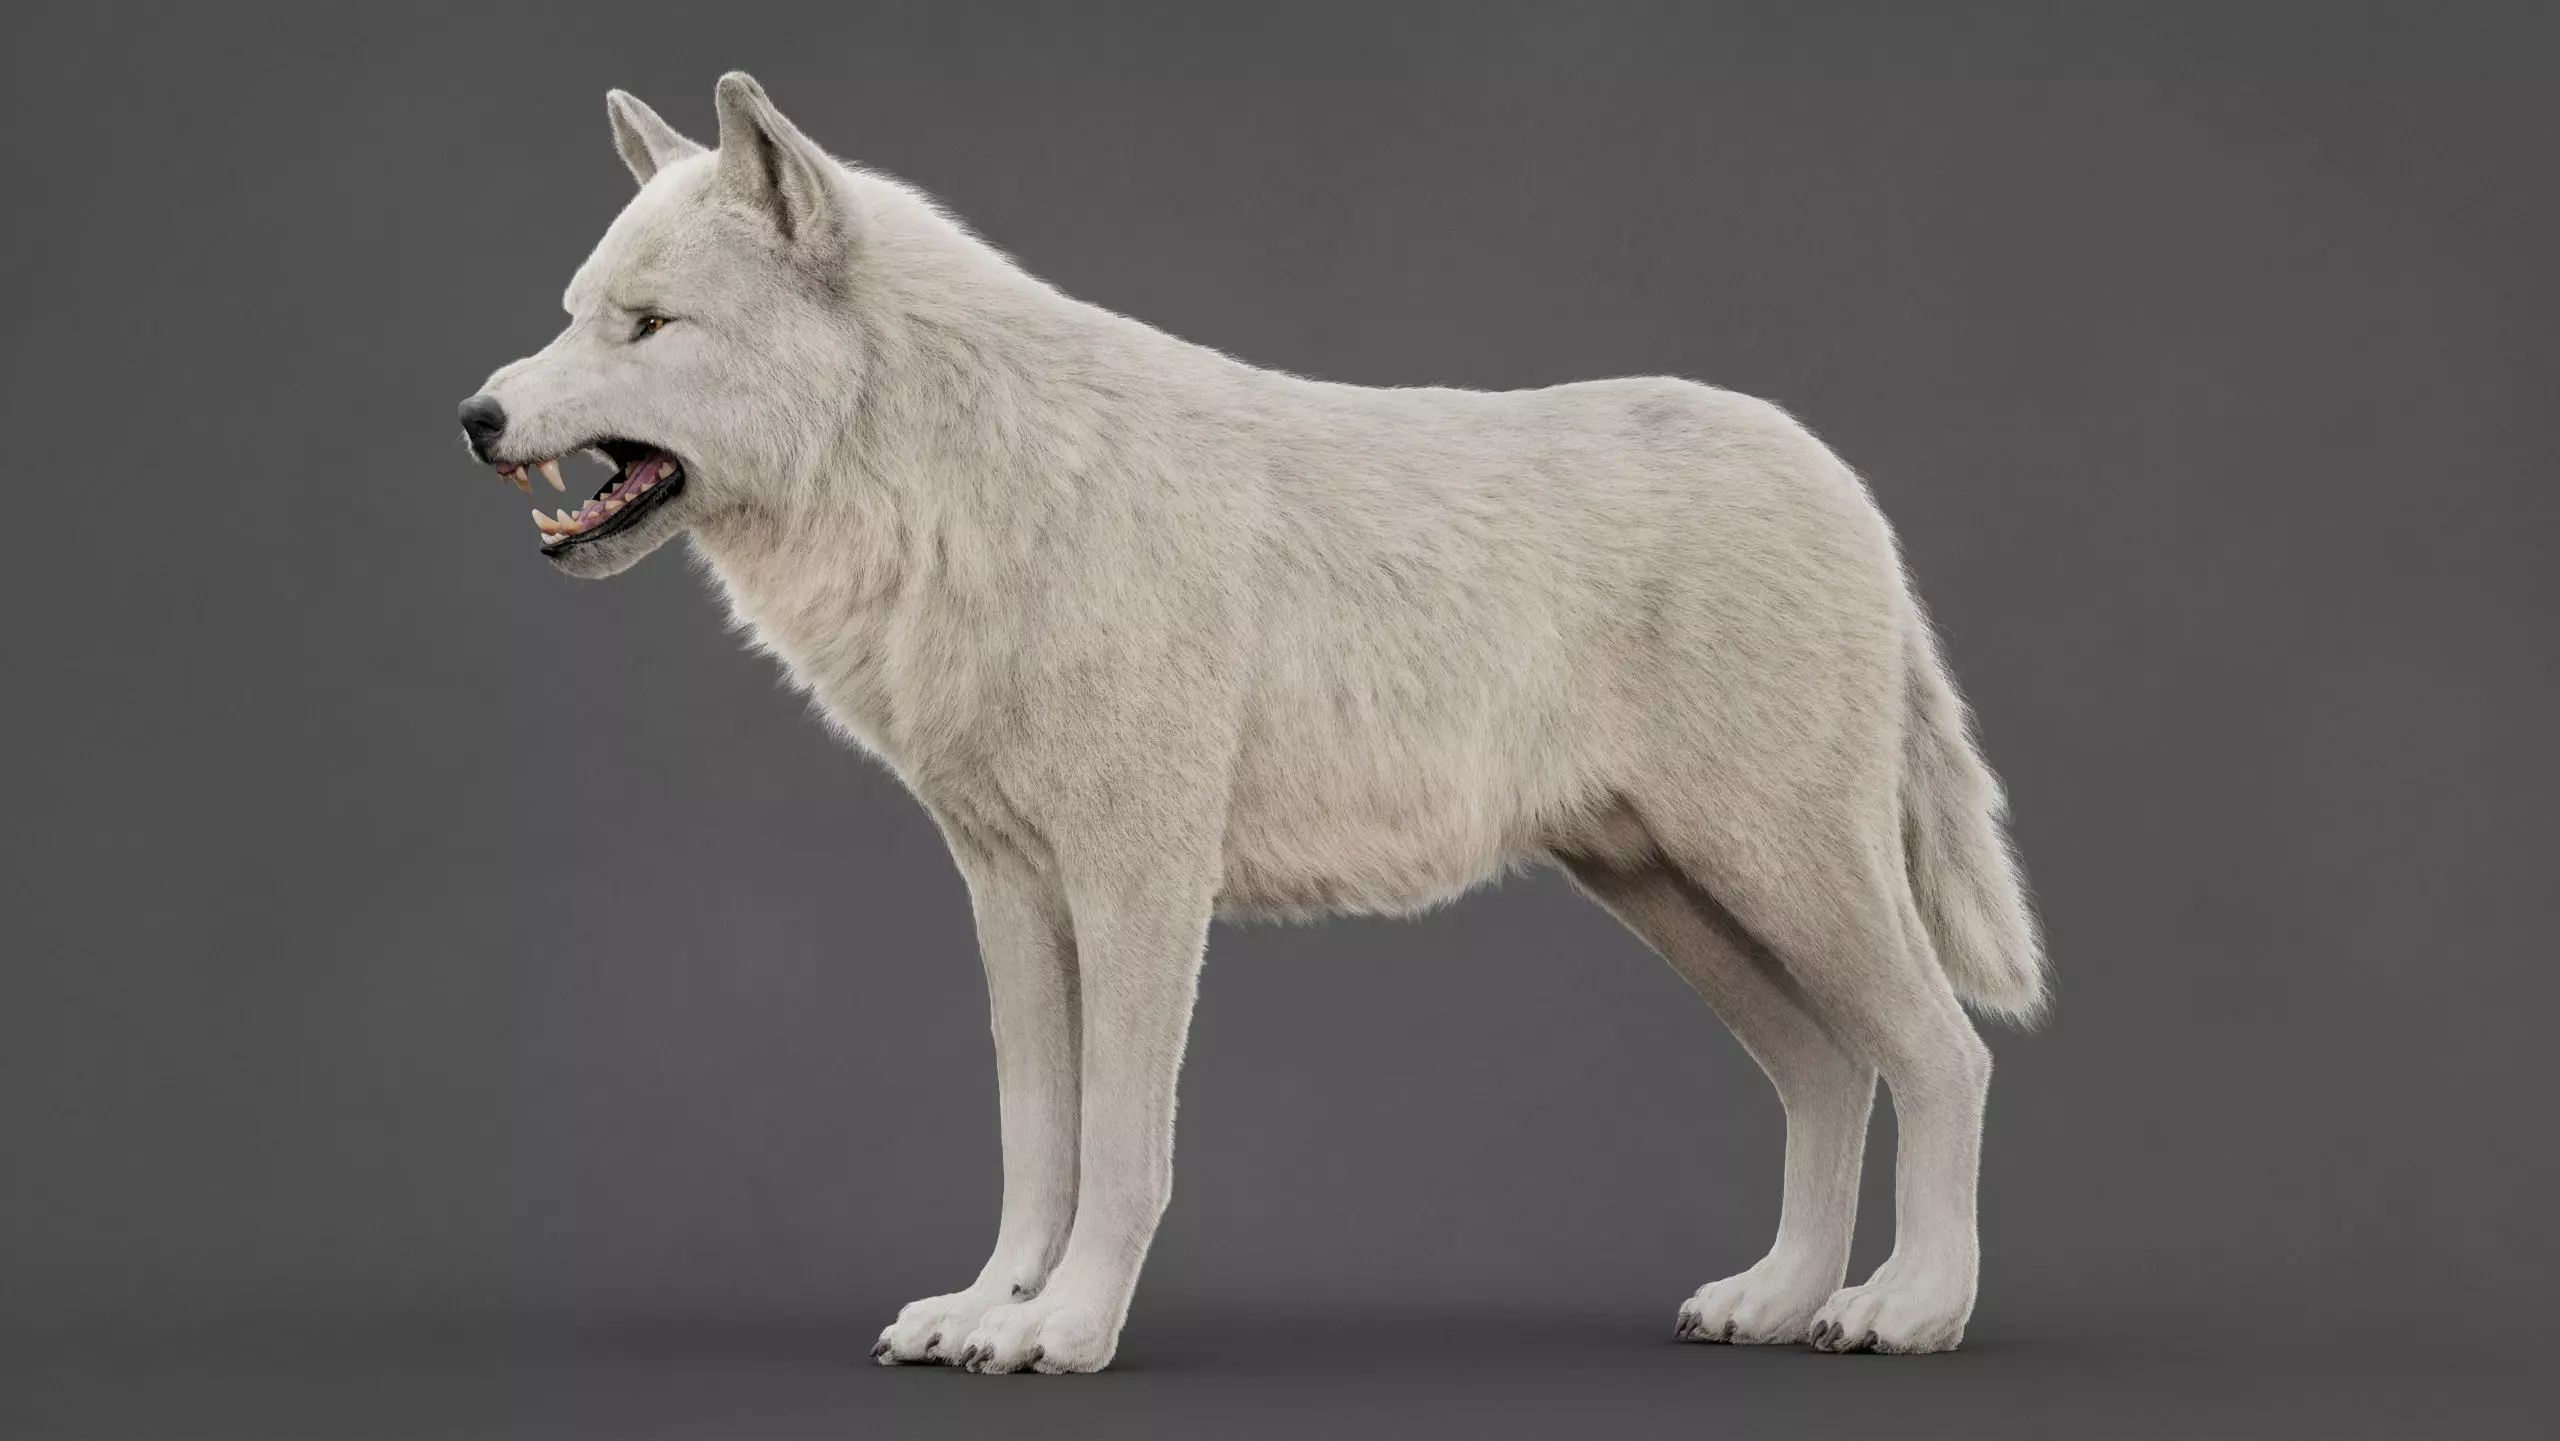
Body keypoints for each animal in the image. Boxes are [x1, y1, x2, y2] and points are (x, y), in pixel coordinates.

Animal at [458, 73, 2046, 1374]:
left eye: (648, 326)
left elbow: (1120, 1145)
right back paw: (1776, 1301)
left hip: (1781, 873)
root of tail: (1843, 484)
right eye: (574, 311)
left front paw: (1069, 1332)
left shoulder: (1140, 882)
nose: (475, 416)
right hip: (1675, 896)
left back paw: (1911, 1309)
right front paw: (986, 1311)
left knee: (1946, 1056)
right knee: (1835, 1071)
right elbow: (1034, 1138)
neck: (964, 491)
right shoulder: (1009, 889)